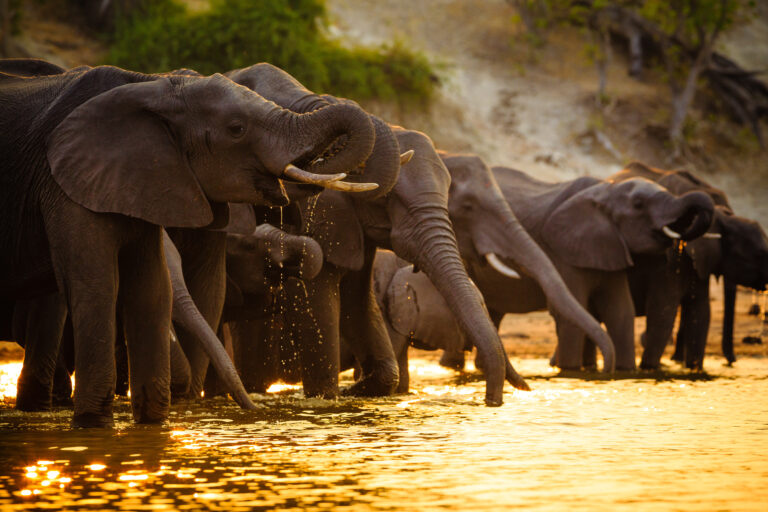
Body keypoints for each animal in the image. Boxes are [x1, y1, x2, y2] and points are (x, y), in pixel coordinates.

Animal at [0, 62, 379, 426]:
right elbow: (97, 287)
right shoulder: (63, 186)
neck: (149, 84)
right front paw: (94, 427)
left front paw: (154, 426)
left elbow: (153, 289)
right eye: (236, 128)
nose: (254, 408)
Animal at [375, 155, 714, 383]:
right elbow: (572, 315)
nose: (607, 371)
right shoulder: (564, 252)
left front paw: (623, 372)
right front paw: (573, 371)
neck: (604, 190)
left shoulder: (608, 247)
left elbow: (621, 310)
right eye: (640, 205)